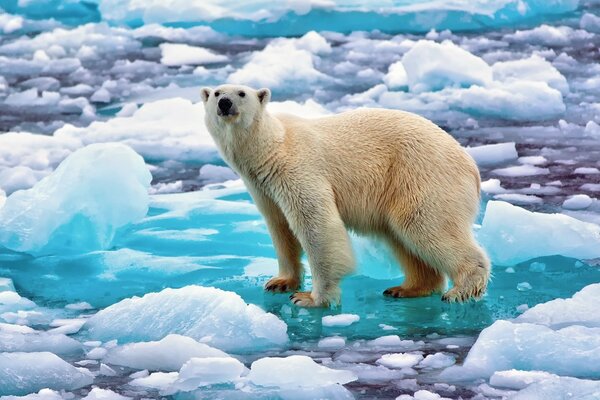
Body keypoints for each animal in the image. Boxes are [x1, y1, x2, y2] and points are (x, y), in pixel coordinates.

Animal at [202, 84, 492, 308]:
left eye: (241, 93)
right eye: (216, 92)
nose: (225, 103)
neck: (271, 147)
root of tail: (471, 165)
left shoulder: (297, 169)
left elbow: (317, 225)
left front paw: (310, 298)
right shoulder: (263, 188)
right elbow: (280, 229)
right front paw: (280, 282)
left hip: (422, 175)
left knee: (424, 225)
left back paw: (460, 290)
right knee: (402, 237)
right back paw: (406, 288)